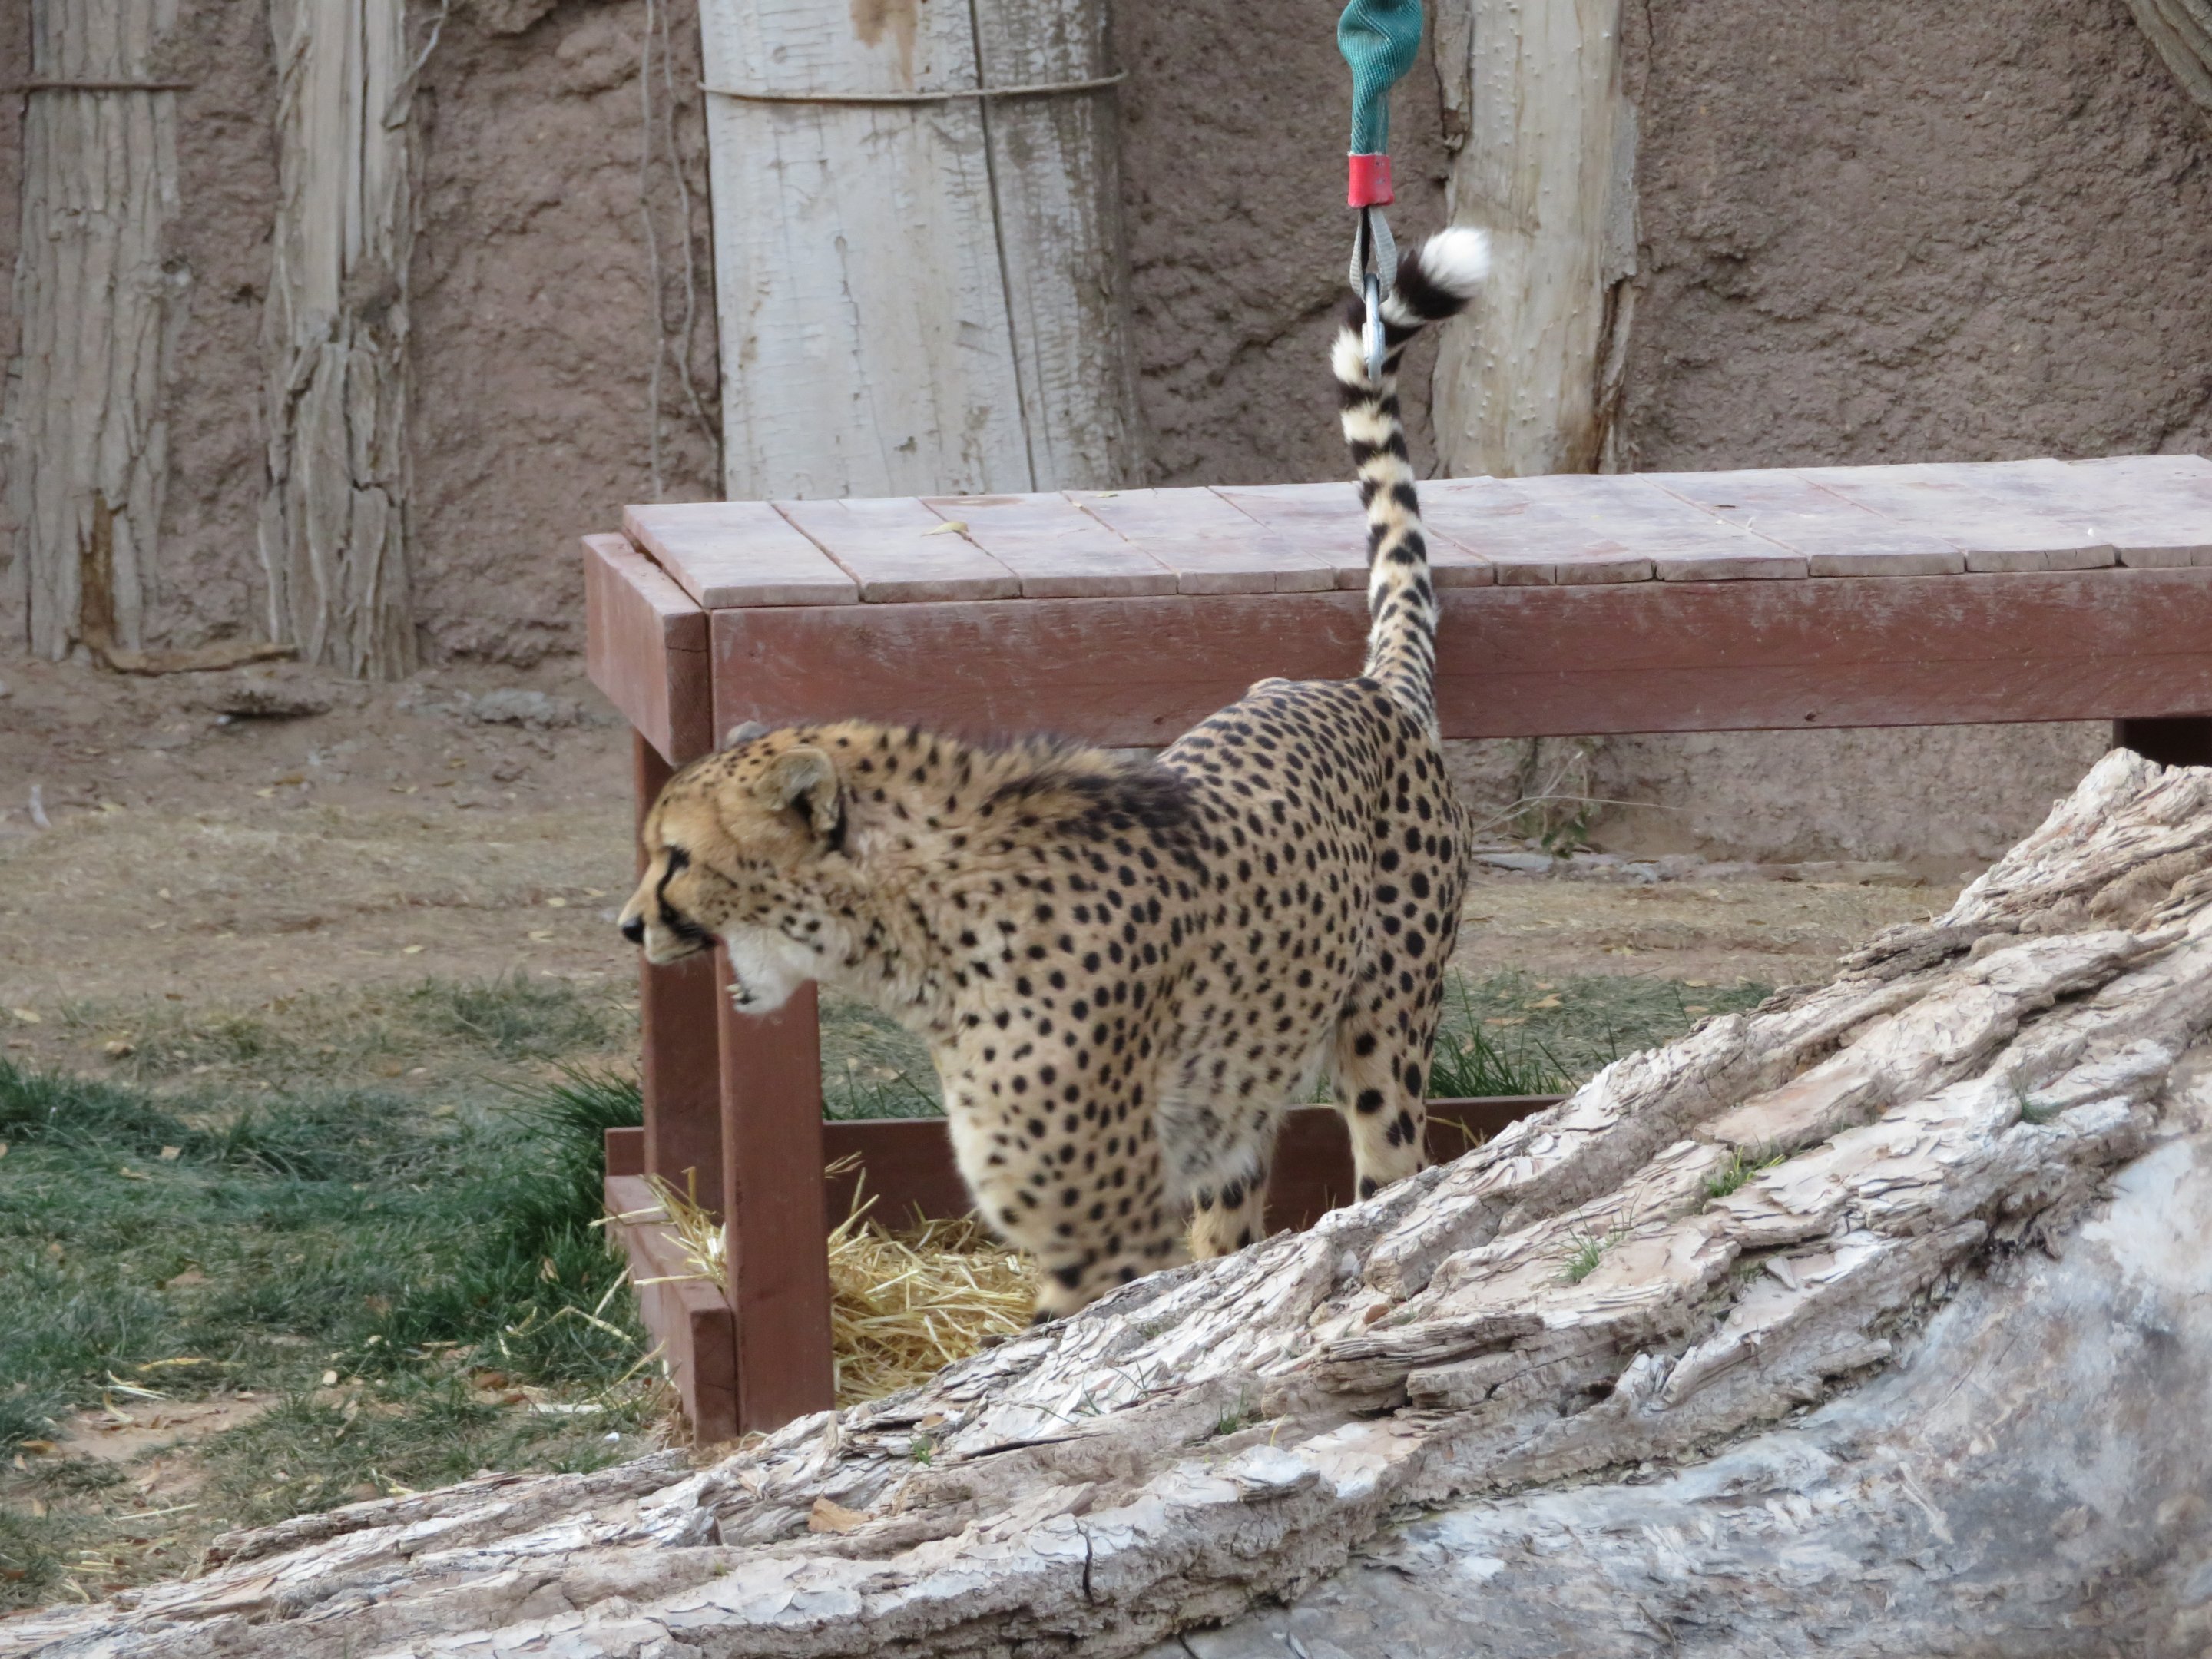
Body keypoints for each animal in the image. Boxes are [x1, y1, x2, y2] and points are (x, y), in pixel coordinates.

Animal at [620, 225, 1490, 1321]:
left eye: (679, 857)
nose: (628, 925)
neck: (915, 935)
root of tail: (1367, 688)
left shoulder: (1101, 1230)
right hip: (1237, 1092)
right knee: (1235, 1223)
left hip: (1387, 1037)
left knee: (1392, 1171)